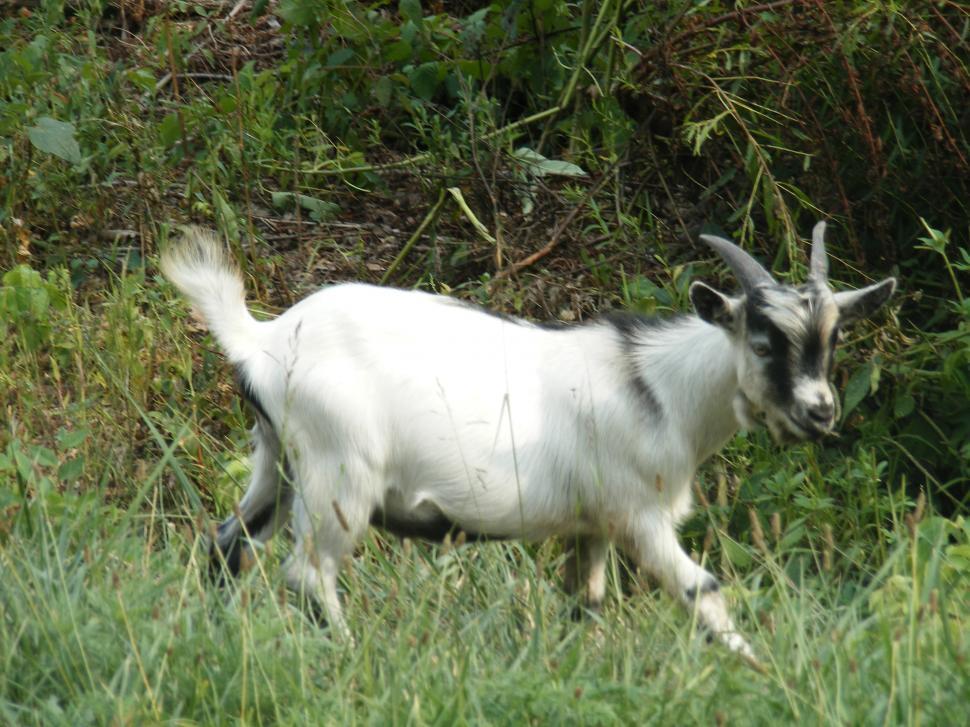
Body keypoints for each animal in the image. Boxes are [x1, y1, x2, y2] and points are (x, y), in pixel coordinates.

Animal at [161, 222, 895, 659]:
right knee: (307, 571)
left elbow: (586, 604)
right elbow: (702, 591)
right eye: (765, 341)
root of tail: (261, 338)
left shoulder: (591, 524)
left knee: (228, 543)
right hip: (339, 474)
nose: (820, 412)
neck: (657, 387)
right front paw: (759, 668)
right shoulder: (637, 515)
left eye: (833, 341)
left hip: (278, 462)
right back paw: (349, 654)